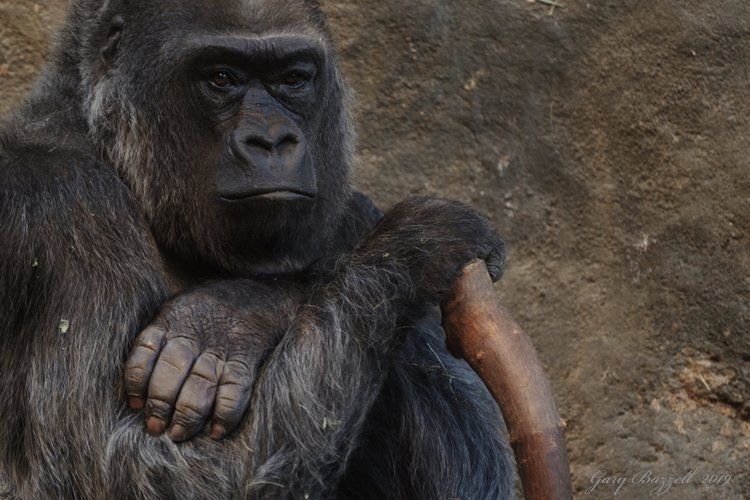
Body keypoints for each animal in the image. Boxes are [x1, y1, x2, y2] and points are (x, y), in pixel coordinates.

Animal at [0, 0, 514, 498]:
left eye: (293, 78)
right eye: (221, 77)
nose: (271, 140)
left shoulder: (354, 210)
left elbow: (477, 466)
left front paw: (235, 312)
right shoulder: (66, 201)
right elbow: (130, 471)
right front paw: (418, 242)